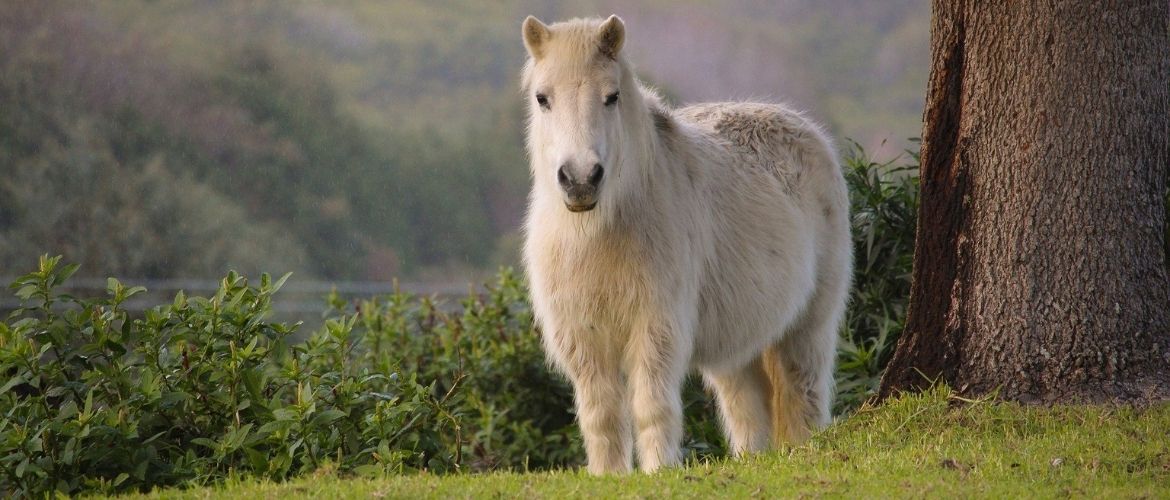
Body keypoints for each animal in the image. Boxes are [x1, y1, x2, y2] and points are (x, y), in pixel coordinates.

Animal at [521, 14, 851, 473]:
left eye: (612, 97)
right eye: (542, 98)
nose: (581, 180)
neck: (599, 234)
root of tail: (806, 129)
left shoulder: (655, 327)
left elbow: (651, 406)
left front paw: (659, 470)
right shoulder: (582, 337)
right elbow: (600, 416)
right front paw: (609, 476)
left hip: (807, 328)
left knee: (804, 395)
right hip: (738, 348)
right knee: (747, 410)